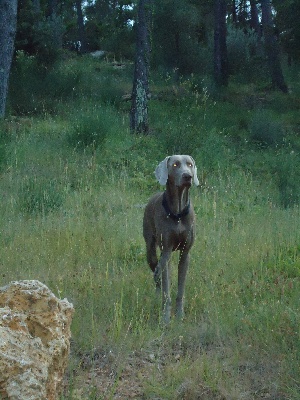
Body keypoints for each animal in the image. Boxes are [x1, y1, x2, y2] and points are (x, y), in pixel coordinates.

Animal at [143, 153, 199, 322]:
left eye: (189, 164)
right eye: (175, 165)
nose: (188, 176)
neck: (178, 214)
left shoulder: (185, 253)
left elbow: (180, 288)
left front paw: (180, 315)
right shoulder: (166, 251)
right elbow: (166, 288)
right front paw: (166, 318)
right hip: (151, 249)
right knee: (157, 274)